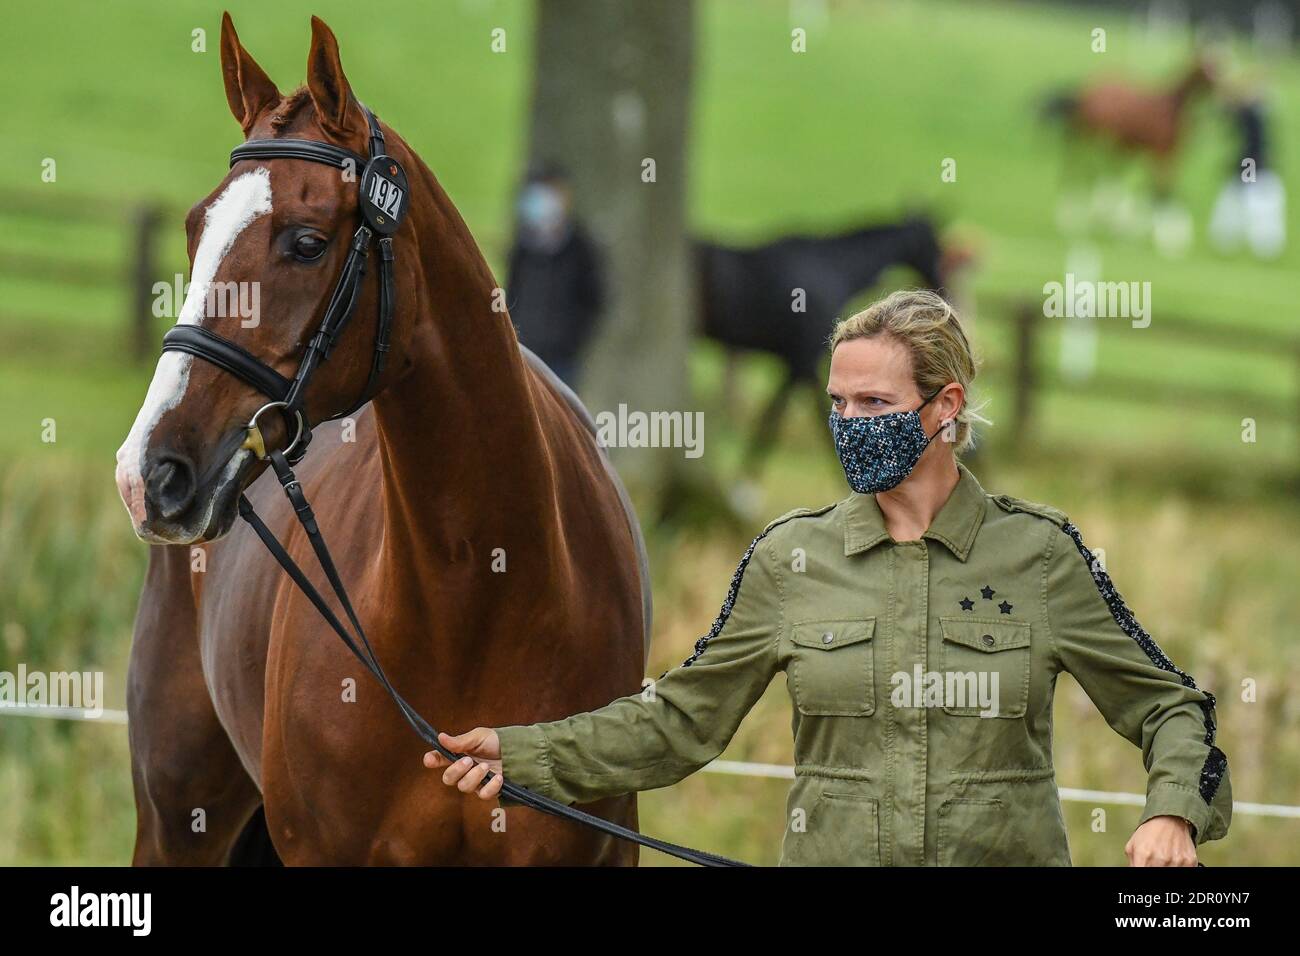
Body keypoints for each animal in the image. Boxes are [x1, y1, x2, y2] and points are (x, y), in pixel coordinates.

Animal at [702, 213, 967, 476]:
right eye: (934, 244)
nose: (942, 290)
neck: (834, 266)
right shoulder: (803, 359)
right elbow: (786, 416)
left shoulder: (798, 362)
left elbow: (779, 414)